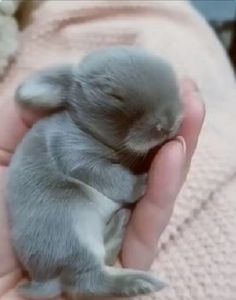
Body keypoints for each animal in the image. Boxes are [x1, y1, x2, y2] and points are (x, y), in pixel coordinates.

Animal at [6, 45, 183, 298]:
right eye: (113, 95)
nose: (168, 123)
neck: (86, 129)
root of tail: (46, 280)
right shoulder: (75, 154)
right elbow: (112, 177)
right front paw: (143, 183)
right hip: (74, 228)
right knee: (88, 281)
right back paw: (142, 283)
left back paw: (120, 222)